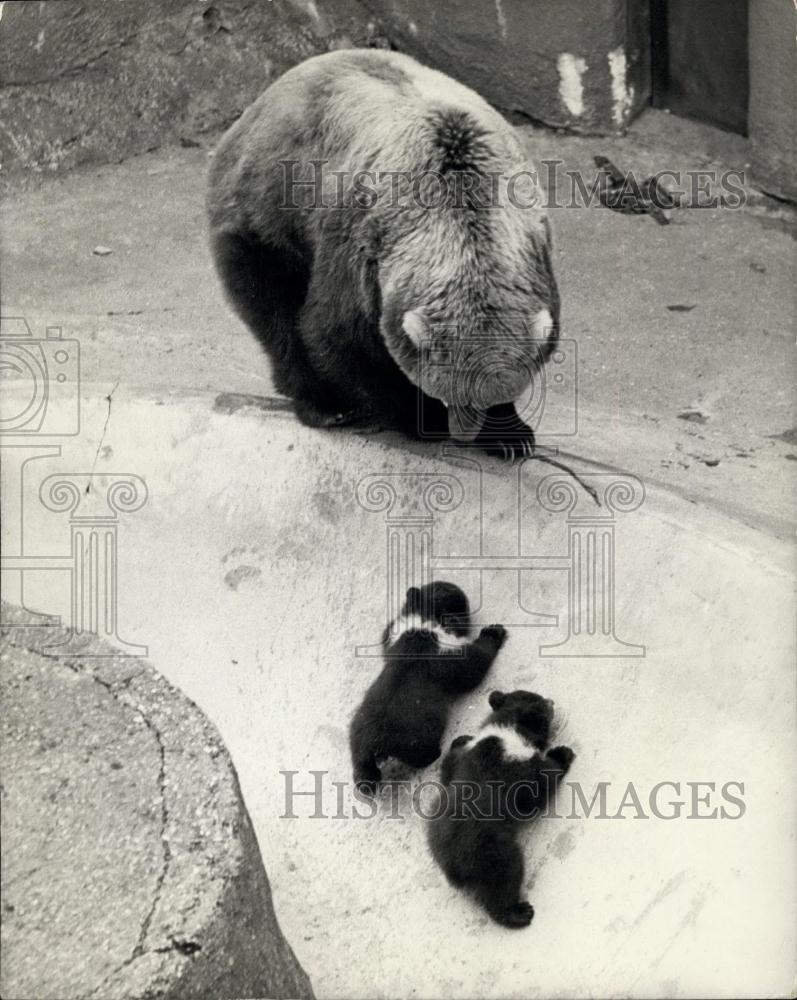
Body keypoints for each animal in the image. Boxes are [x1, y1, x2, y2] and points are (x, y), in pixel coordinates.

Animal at [207, 49, 560, 458]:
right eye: (452, 392)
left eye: (484, 399)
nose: (463, 430)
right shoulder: (359, 242)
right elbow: (343, 337)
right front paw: (423, 417)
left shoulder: (533, 244)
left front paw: (511, 434)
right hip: (266, 211)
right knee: (273, 304)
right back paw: (323, 404)